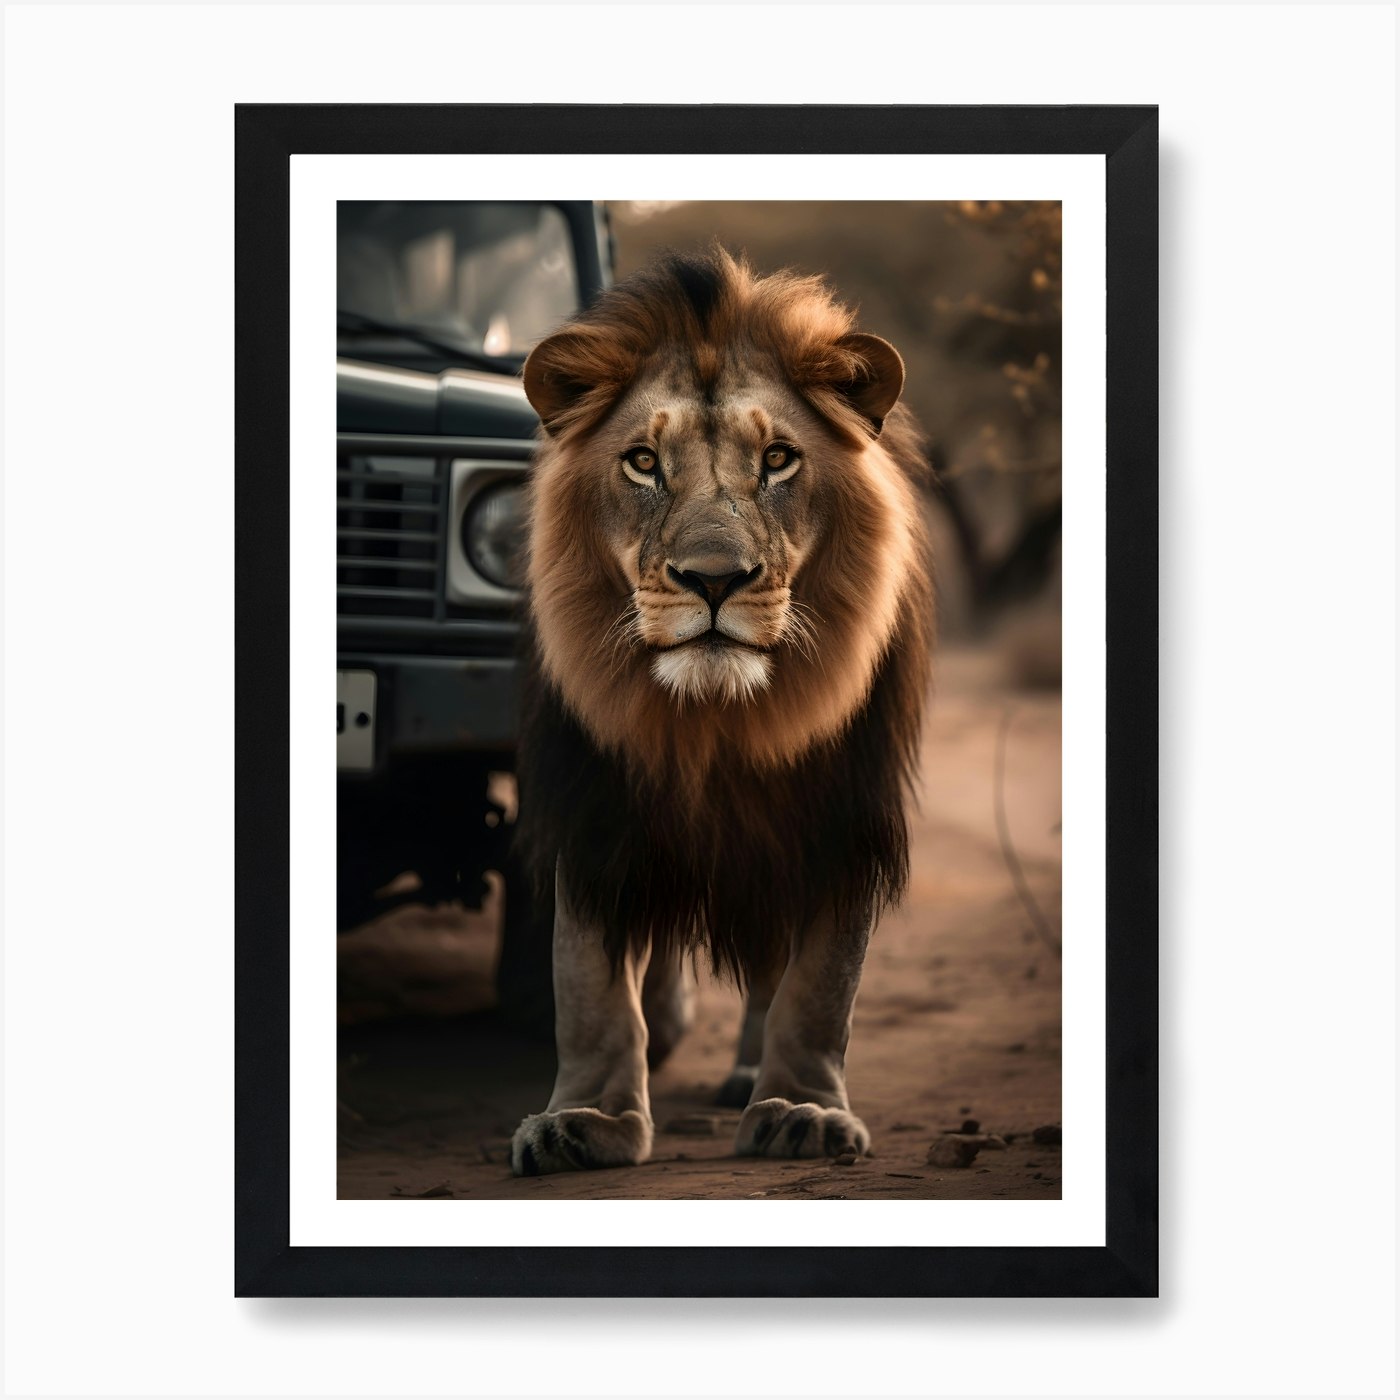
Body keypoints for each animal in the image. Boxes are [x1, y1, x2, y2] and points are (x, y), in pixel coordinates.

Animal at [510, 246, 934, 1175]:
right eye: (642, 462)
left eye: (777, 460)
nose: (713, 579)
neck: (711, 724)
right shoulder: (594, 808)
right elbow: (586, 982)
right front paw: (587, 1120)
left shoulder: (839, 815)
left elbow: (821, 984)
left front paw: (804, 1109)